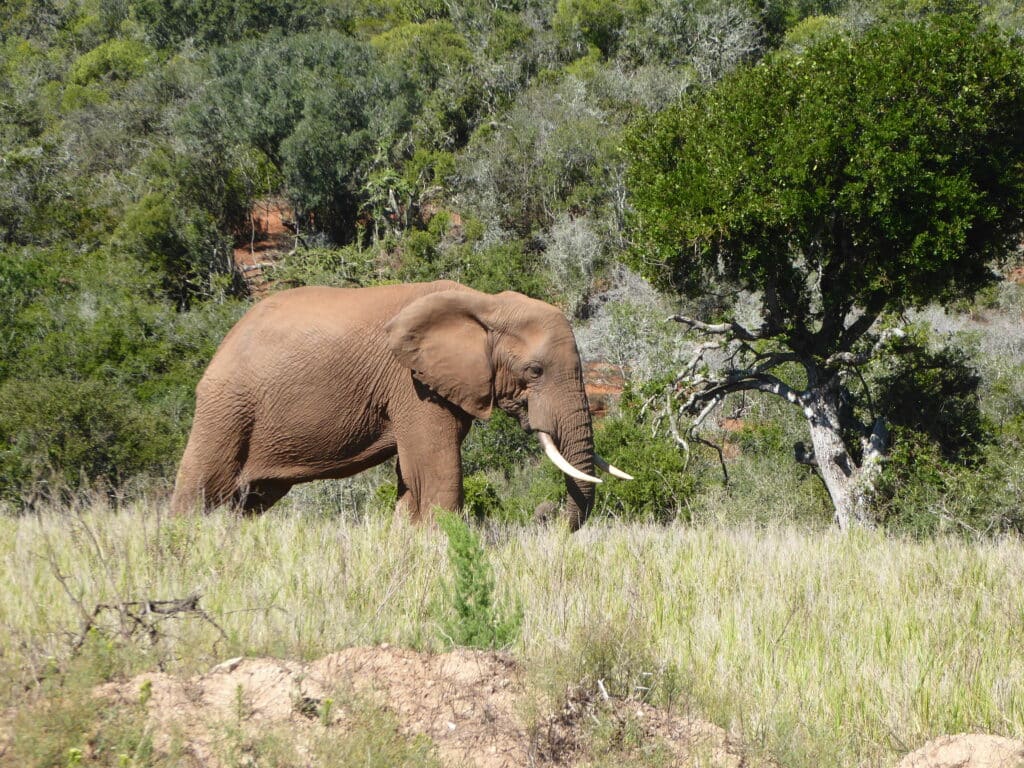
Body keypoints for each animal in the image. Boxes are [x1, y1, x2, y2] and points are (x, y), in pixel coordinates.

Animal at [171, 280, 626, 528]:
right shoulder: (411, 384)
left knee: (248, 502)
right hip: (227, 405)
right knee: (203, 487)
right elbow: (437, 475)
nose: (545, 515)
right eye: (534, 371)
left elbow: (413, 483)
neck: (485, 302)